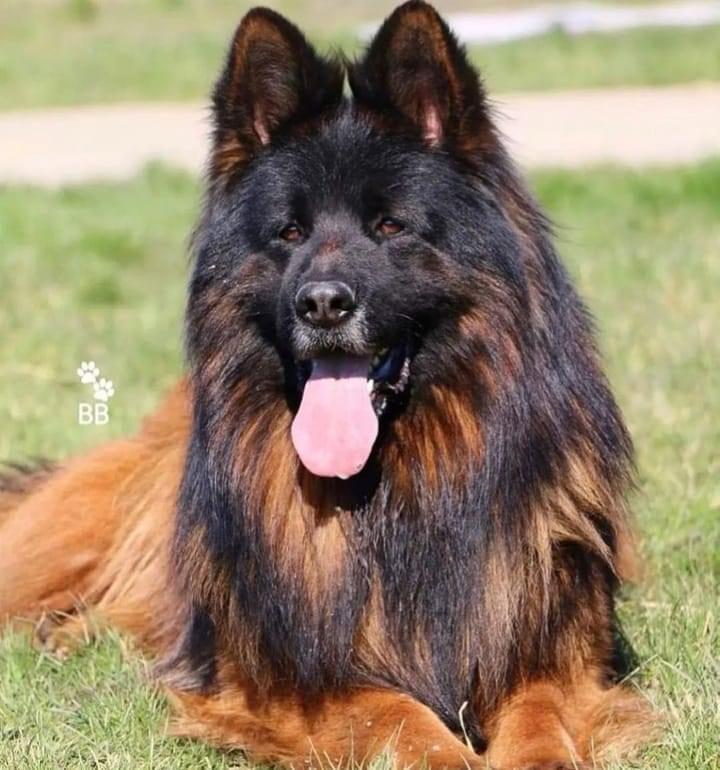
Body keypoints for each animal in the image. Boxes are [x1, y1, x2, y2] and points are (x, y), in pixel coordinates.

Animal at [0, 2, 652, 767]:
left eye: (391, 225)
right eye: (289, 232)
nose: (322, 304)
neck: (397, 484)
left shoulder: (559, 660)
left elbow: (542, 720)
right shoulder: (297, 681)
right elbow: (400, 718)